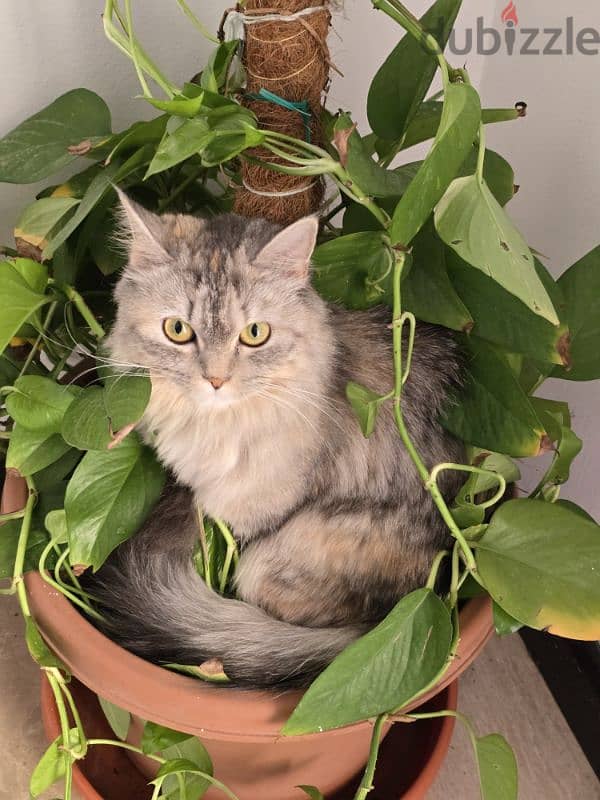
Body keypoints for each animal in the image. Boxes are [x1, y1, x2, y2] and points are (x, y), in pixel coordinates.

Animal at [88, 194, 464, 688]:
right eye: (177, 330)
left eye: (255, 334)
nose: (215, 381)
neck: (217, 425)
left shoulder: (252, 514)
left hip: (268, 564)